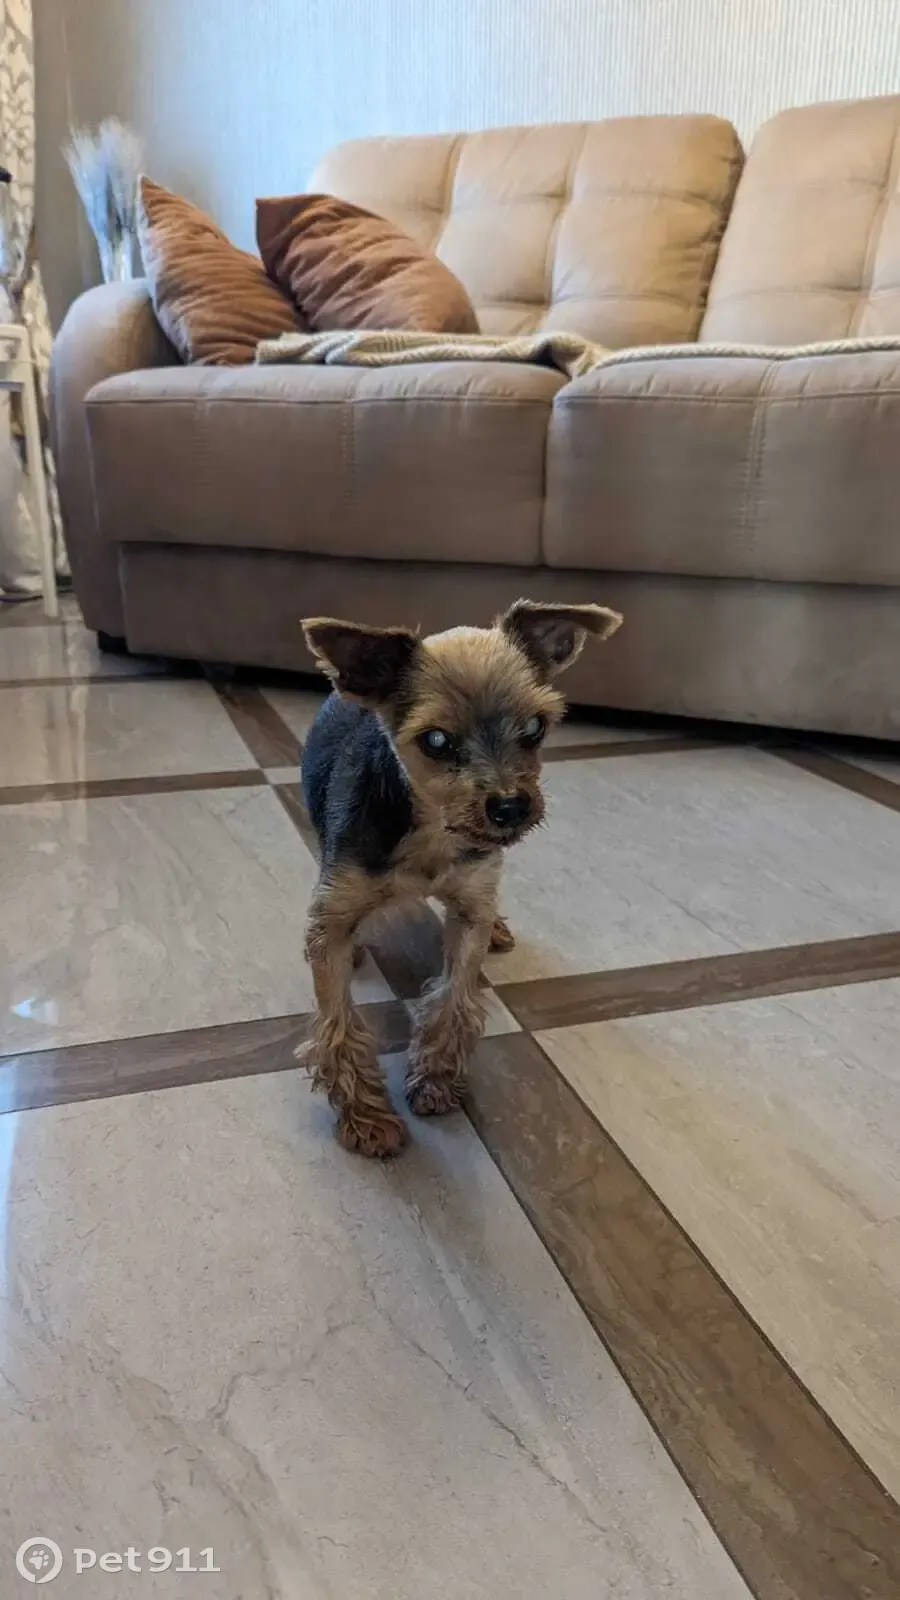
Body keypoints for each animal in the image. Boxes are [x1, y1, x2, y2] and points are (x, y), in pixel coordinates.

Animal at [298, 599, 622, 1156]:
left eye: (535, 727)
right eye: (436, 740)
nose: (511, 807)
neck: (432, 825)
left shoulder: (471, 900)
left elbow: (456, 995)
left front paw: (434, 1078)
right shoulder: (334, 915)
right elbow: (337, 1017)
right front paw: (365, 1115)